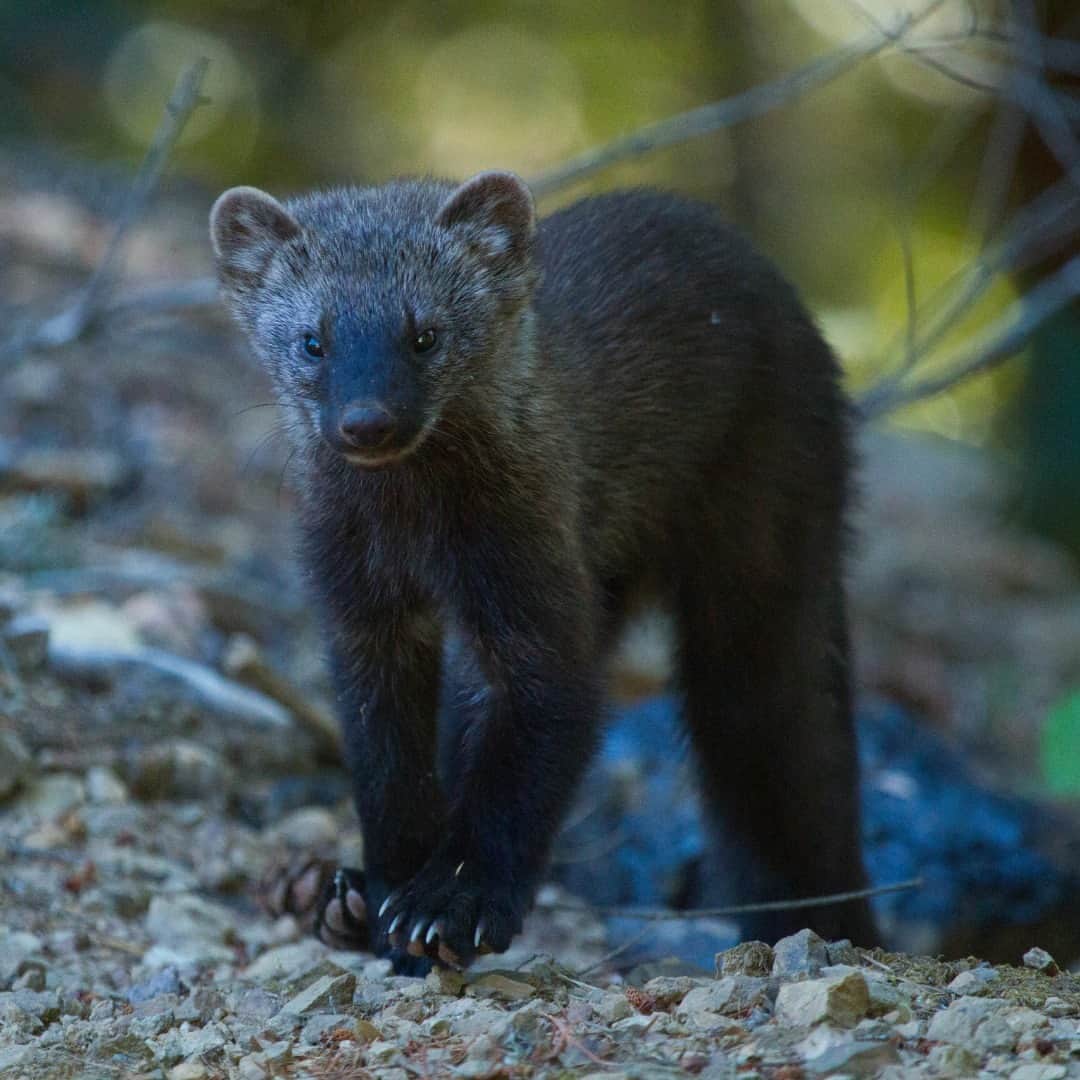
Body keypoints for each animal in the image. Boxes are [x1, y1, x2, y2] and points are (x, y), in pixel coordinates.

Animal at [210, 171, 877, 973]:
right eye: (313, 338)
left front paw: (449, 906)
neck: (414, 535)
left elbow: (534, 749)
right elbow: (385, 760)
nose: (367, 421)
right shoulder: (356, 603)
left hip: (764, 545)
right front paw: (374, 896)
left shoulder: (533, 580)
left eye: (425, 333)